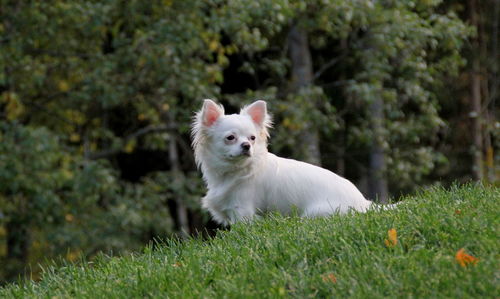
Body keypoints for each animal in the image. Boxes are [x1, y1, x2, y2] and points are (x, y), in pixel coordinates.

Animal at [193, 99, 374, 226]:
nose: (247, 145)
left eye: (252, 138)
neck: (234, 171)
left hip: (316, 213)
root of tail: (364, 205)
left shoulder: (242, 210)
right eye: (230, 138)